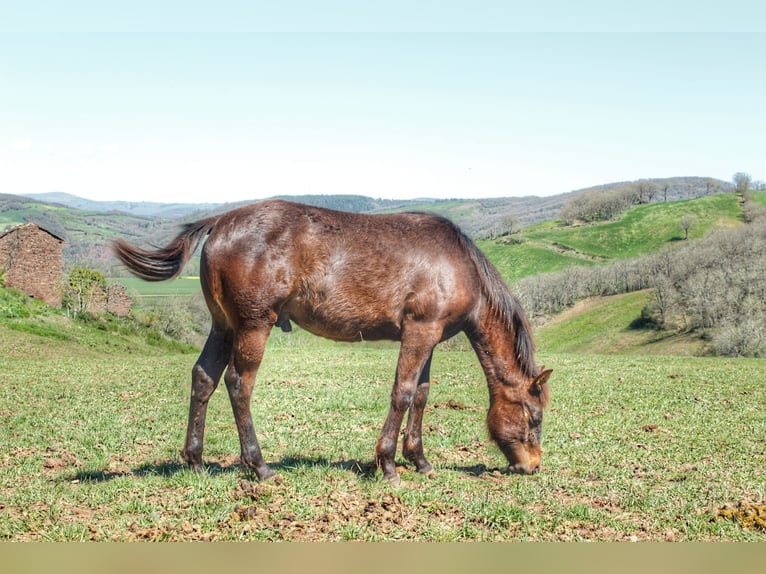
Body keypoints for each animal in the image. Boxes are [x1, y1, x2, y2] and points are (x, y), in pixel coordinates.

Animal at [112, 199, 551, 485]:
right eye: (534, 417)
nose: (532, 466)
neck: (459, 265)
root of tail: (221, 221)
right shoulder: (420, 331)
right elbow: (403, 393)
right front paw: (388, 465)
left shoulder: (430, 335)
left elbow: (421, 394)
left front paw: (420, 460)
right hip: (253, 325)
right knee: (239, 385)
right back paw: (259, 466)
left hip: (223, 326)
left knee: (204, 377)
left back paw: (196, 460)